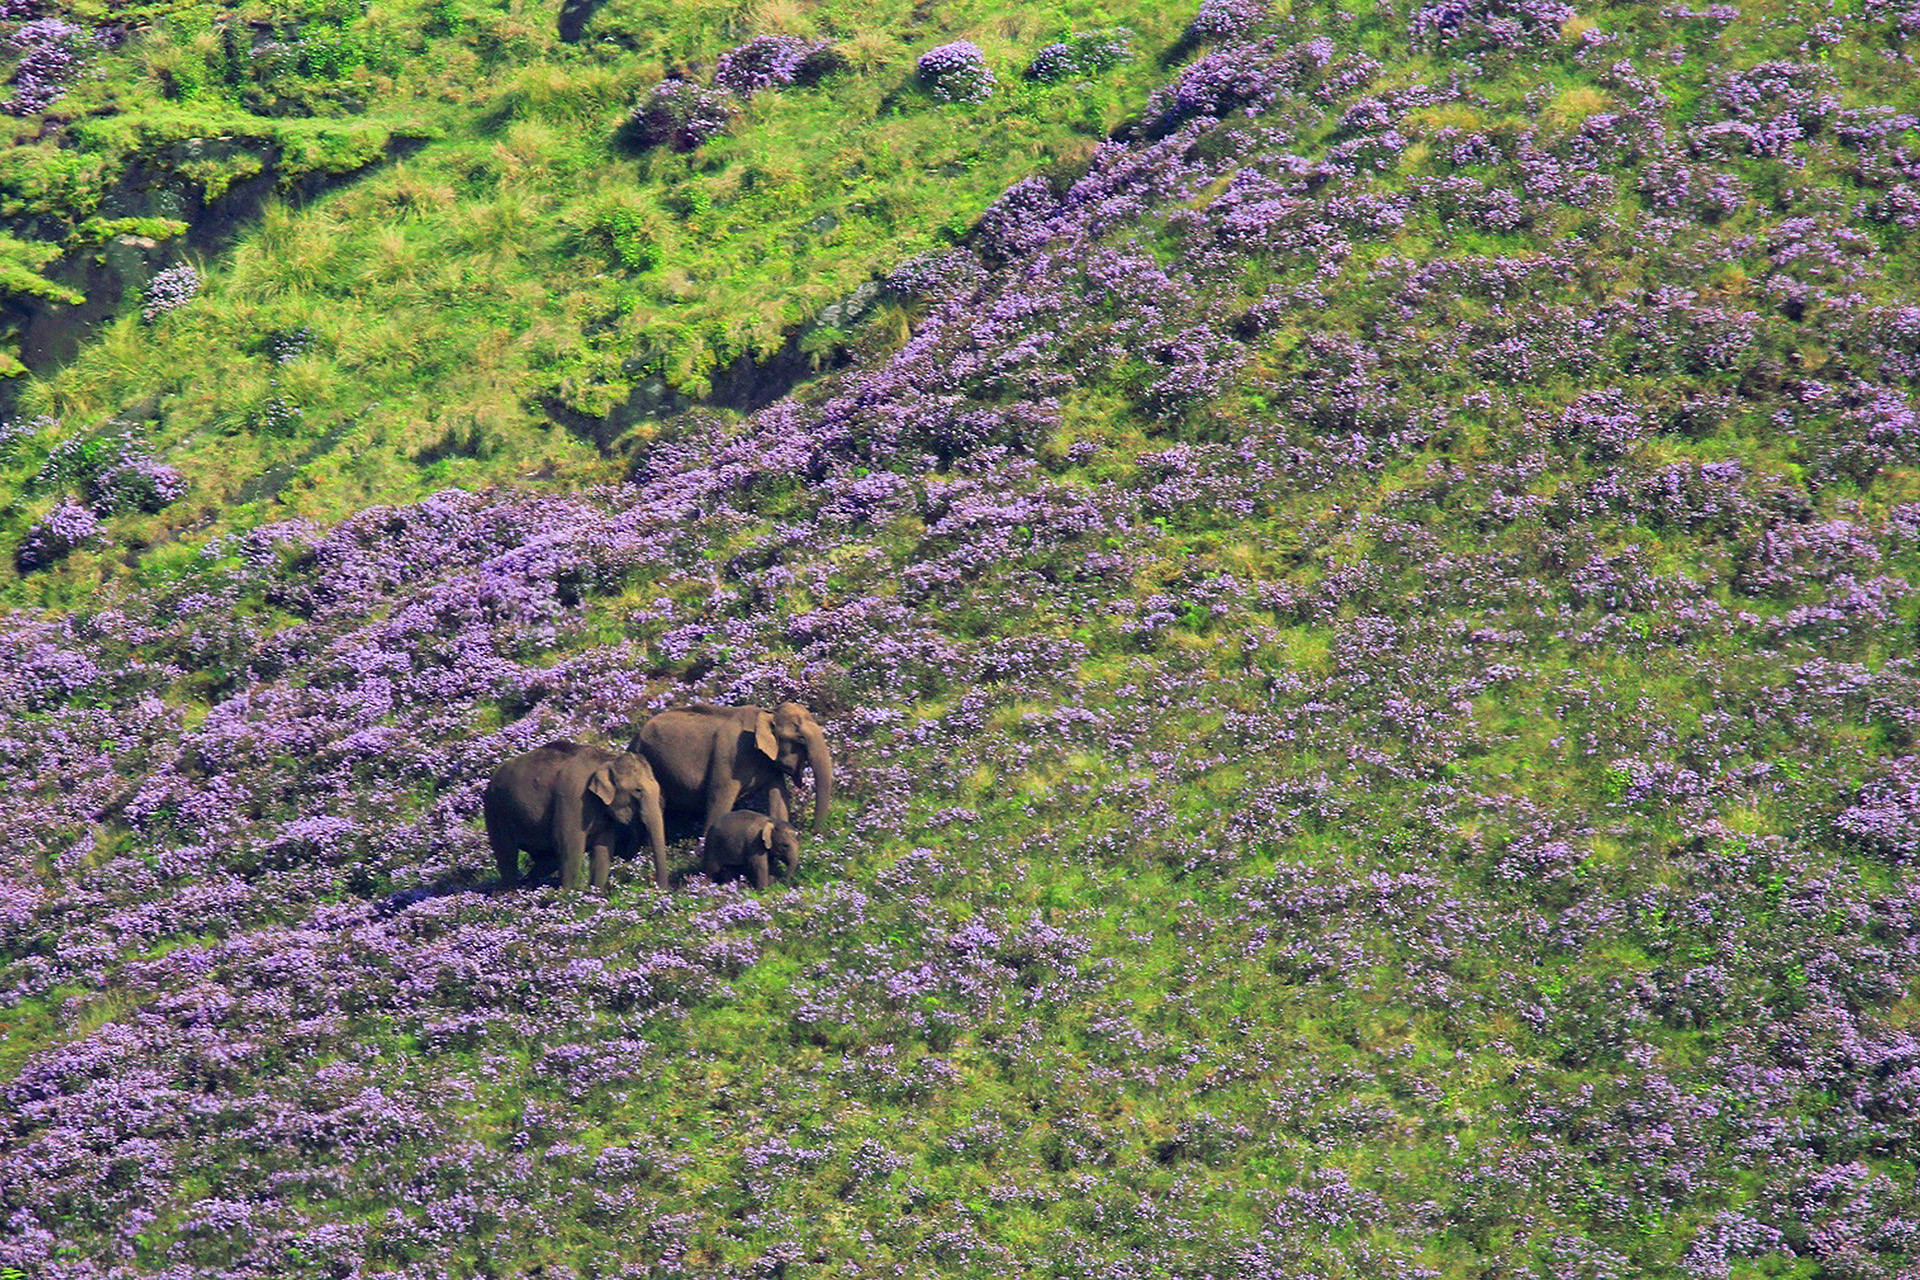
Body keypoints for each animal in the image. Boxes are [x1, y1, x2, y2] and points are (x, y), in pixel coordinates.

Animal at [484, 741, 668, 891]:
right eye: (638, 790)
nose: (658, 888)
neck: (606, 760)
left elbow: (603, 849)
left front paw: (594, 895)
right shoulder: (572, 798)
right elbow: (569, 845)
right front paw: (567, 895)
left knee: (546, 860)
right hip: (495, 809)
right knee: (506, 854)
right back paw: (510, 893)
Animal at [629, 702, 833, 837]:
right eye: (801, 739)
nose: (813, 833)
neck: (767, 713)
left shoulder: (769, 765)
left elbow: (779, 799)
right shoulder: (730, 756)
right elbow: (718, 797)